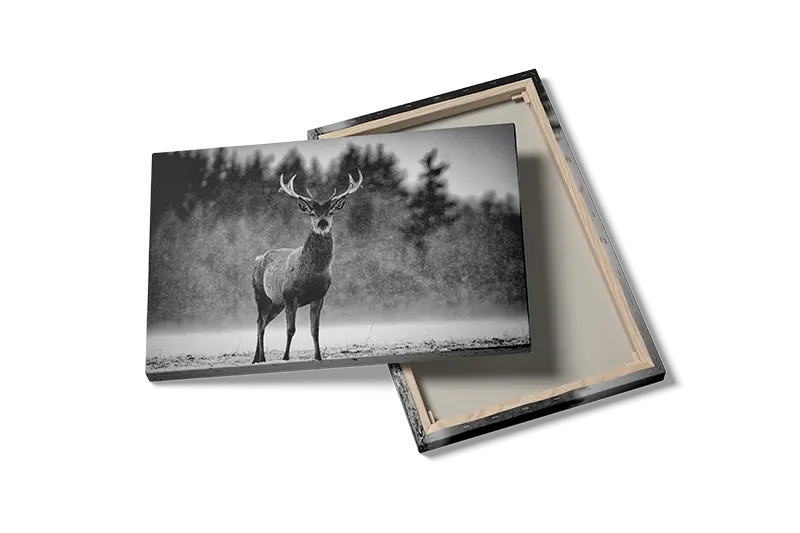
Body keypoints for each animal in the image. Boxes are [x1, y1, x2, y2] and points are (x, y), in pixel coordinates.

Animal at [251, 170, 364, 364]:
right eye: (312, 213)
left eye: (331, 212)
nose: (322, 223)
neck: (312, 273)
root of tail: (258, 258)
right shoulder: (289, 294)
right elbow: (291, 329)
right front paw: (285, 357)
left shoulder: (319, 296)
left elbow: (315, 330)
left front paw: (318, 357)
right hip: (260, 294)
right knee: (259, 322)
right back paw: (261, 358)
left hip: (276, 302)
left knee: (263, 322)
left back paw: (257, 358)